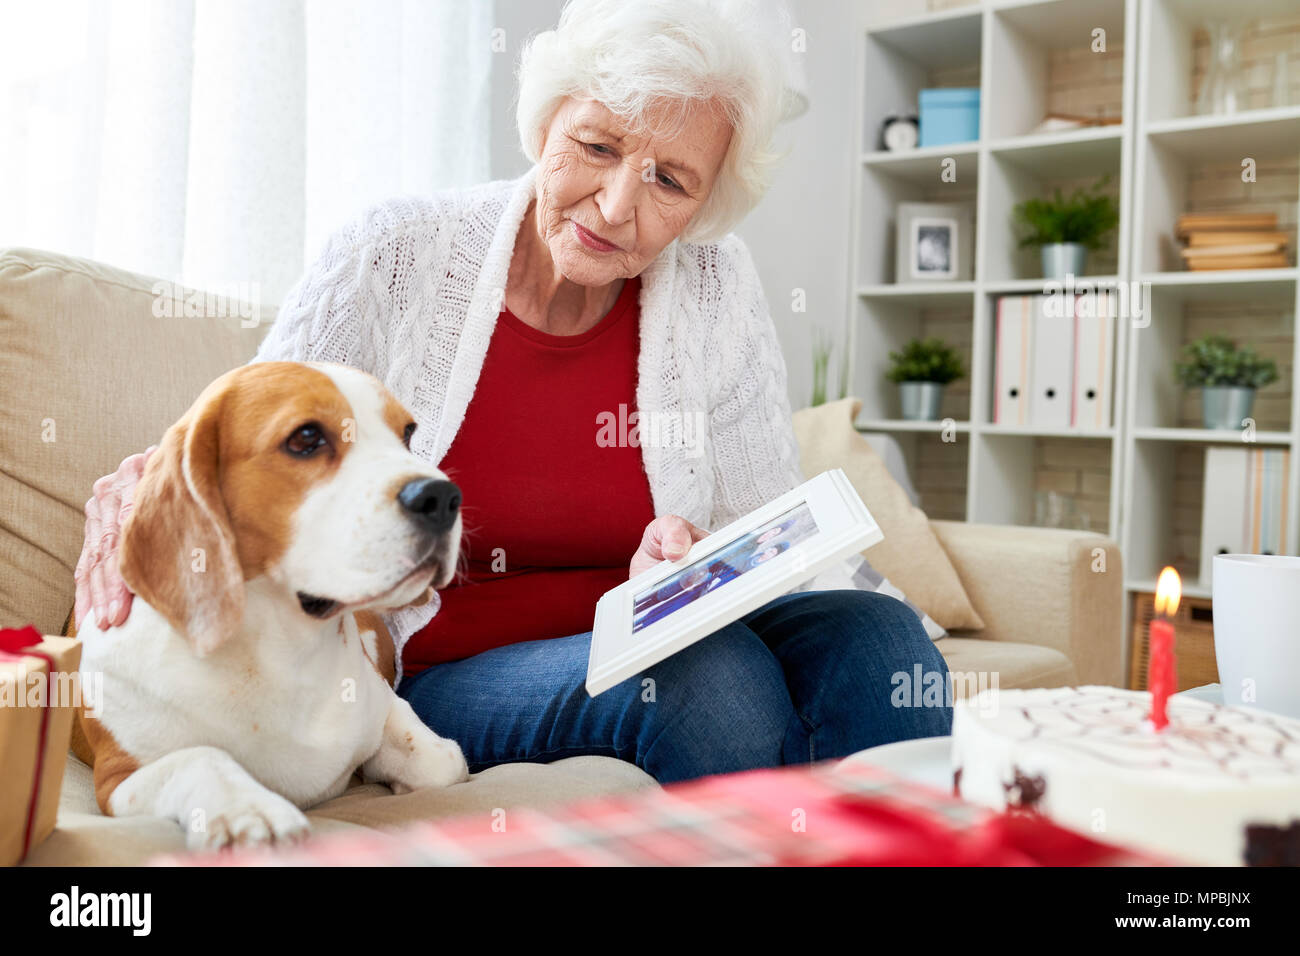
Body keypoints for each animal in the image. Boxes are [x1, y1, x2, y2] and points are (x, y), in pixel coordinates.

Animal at [67, 361, 467, 853]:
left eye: (408, 434)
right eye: (306, 438)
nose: (442, 497)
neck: (279, 652)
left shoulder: (387, 711)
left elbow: (440, 761)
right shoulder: (119, 779)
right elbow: (199, 757)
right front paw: (247, 809)